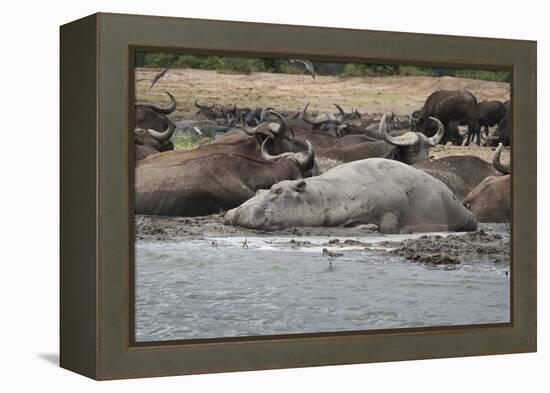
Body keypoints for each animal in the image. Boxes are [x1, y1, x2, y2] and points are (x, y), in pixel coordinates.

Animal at [225, 157, 478, 233]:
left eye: (277, 190)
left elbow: (388, 223)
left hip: (454, 209)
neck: (321, 196)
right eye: (260, 189)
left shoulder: (391, 206)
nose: (237, 211)